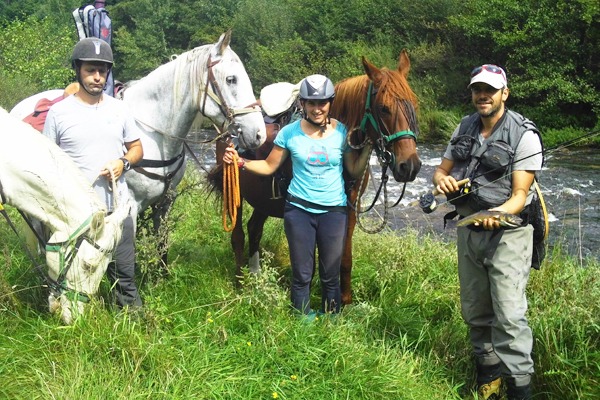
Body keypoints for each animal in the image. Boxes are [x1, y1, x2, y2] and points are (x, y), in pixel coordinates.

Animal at [211, 50, 422, 306]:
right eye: (383, 108)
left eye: (413, 104)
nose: (409, 166)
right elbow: (309, 260)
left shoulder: (349, 208)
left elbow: (344, 257)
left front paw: (345, 300)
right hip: (234, 193)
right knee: (238, 236)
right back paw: (241, 284)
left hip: (263, 199)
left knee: (254, 229)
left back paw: (257, 276)